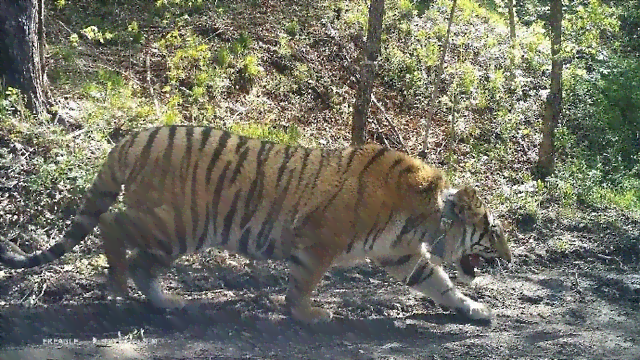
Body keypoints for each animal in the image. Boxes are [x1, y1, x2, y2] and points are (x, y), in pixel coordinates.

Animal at [0, 124, 510, 324]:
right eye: (494, 230)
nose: (508, 259)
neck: (426, 220)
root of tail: (135, 137)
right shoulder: (320, 240)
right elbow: (305, 281)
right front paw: (307, 314)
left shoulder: (401, 255)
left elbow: (441, 284)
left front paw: (475, 309)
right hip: (173, 223)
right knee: (111, 223)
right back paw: (118, 286)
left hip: (175, 233)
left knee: (142, 260)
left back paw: (166, 302)